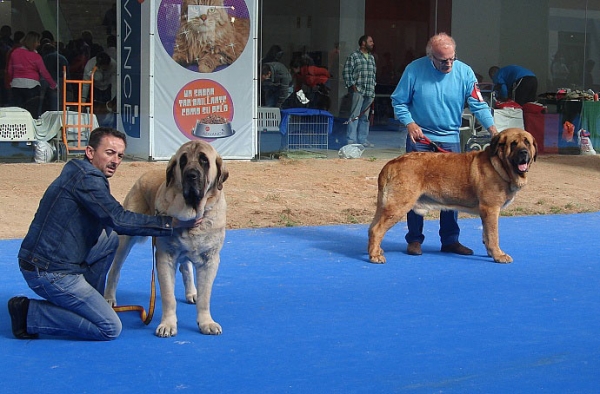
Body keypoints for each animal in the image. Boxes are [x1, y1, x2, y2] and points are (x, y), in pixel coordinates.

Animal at [104, 140, 229, 338]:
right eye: (183, 161)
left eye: (204, 160)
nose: (191, 175)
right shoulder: (164, 258)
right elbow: (169, 297)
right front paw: (167, 325)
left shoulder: (210, 260)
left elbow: (205, 296)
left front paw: (206, 322)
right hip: (126, 237)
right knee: (115, 270)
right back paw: (109, 297)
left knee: (186, 268)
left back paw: (191, 292)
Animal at [368, 129, 536, 264]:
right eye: (513, 144)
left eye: (527, 143)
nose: (524, 153)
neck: (499, 165)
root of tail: (391, 163)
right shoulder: (491, 209)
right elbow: (494, 235)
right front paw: (499, 255)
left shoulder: (487, 213)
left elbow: (487, 235)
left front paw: (491, 252)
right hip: (398, 207)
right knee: (377, 230)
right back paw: (375, 256)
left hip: (383, 207)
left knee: (371, 228)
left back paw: (375, 250)